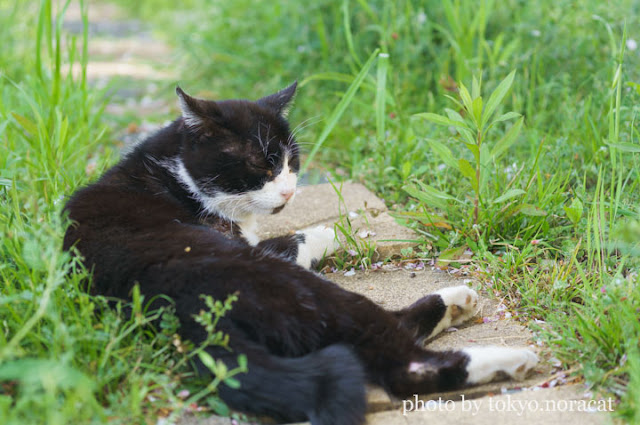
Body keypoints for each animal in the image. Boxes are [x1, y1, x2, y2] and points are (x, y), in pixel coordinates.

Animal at [62, 83, 536, 424]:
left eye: (293, 163)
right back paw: (509, 355)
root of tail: (193, 312)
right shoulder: (247, 242)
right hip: (289, 286)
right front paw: (344, 229)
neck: (177, 174)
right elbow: (303, 237)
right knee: (399, 362)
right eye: (264, 165)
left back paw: (456, 306)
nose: (290, 191)